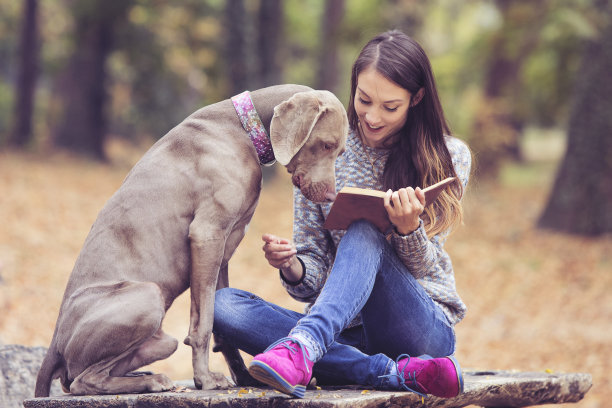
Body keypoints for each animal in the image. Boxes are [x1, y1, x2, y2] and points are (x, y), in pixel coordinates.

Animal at [34, 84, 350, 396]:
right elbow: (204, 322)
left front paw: (244, 378)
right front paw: (205, 380)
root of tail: (54, 344)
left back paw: (144, 375)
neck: (241, 129)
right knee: (81, 381)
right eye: (326, 144)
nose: (330, 196)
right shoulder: (207, 235)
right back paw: (149, 381)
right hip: (148, 296)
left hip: (163, 340)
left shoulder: (223, 250)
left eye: (341, 151)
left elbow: (221, 326)